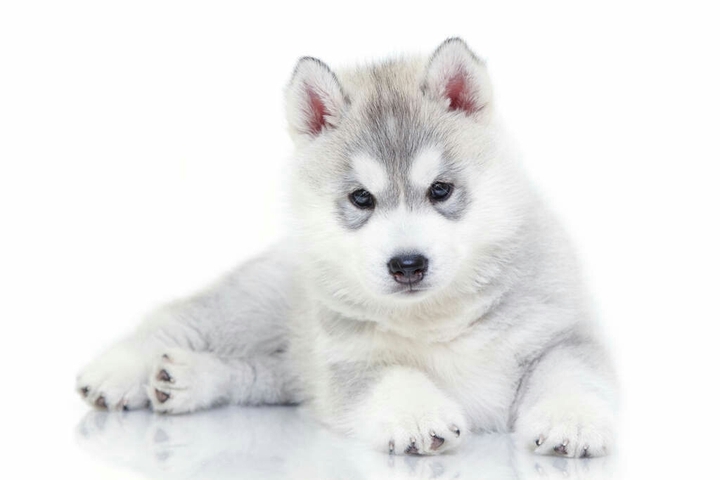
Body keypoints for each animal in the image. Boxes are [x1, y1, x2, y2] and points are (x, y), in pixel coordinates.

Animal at [77, 38, 617, 458]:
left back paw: (188, 380)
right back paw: (117, 371)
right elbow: (393, 377)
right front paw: (418, 416)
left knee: (266, 374)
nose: (407, 265)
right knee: (174, 320)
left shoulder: (563, 335)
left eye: (440, 190)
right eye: (362, 198)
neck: (433, 316)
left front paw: (571, 421)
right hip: (250, 306)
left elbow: (569, 375)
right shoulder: (348, 361)